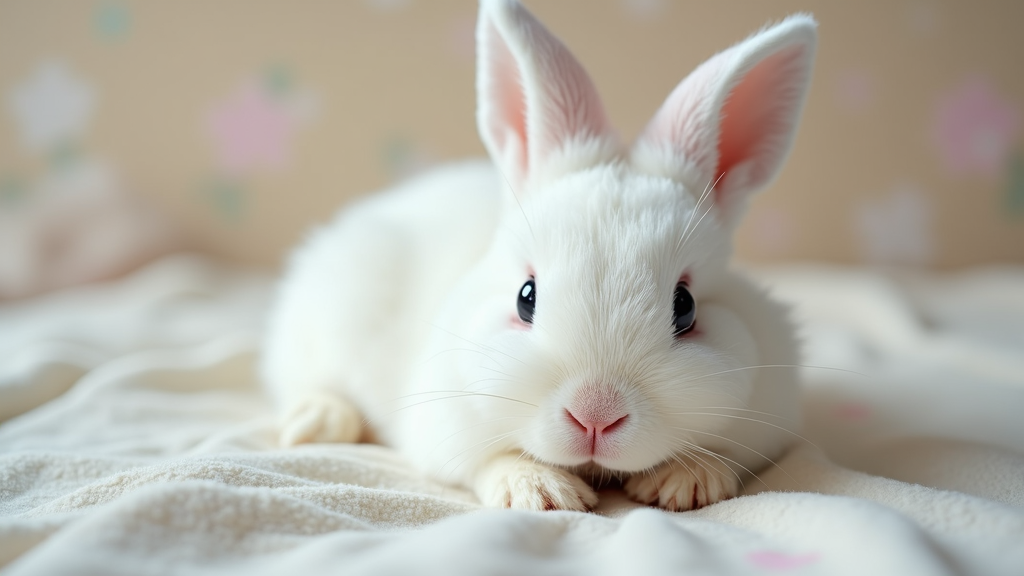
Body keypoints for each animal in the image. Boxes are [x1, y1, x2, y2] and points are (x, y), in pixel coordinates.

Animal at [262, 0, 815, 510]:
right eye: (525, 297)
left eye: (686, 308)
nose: (595, 416)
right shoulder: (445, 426)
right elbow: (489, 458)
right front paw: (541, 491)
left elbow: (730, 454)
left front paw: (687, 482)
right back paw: (318, 423)